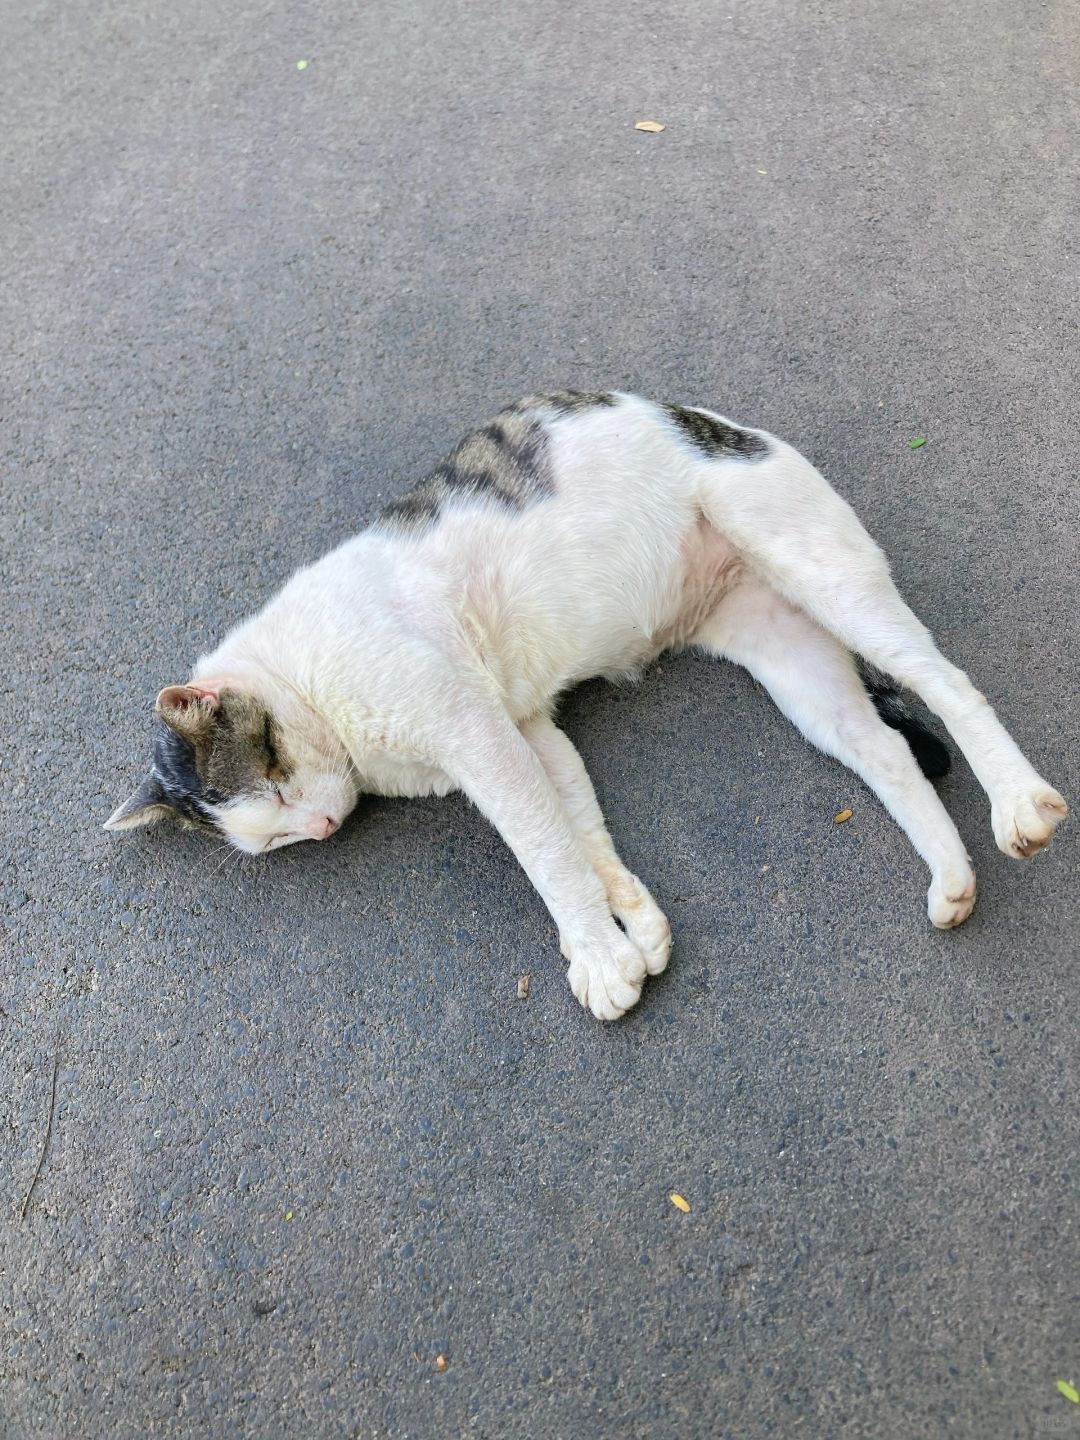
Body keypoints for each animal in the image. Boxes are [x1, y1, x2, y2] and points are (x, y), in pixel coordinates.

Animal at [105, 394, 1071, 1019]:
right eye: (273, 838)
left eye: (272, 785)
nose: (322, 828)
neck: (302, 674)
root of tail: (714, 421)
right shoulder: (529, 732)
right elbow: (580, 832)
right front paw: (627, 930)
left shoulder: (480, 737)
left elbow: (543, 853)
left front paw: (598, 958)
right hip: (799, 672)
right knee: (888, 752)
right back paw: (951, 879)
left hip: (822, 573)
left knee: (946, 680)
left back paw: (1019, 805)